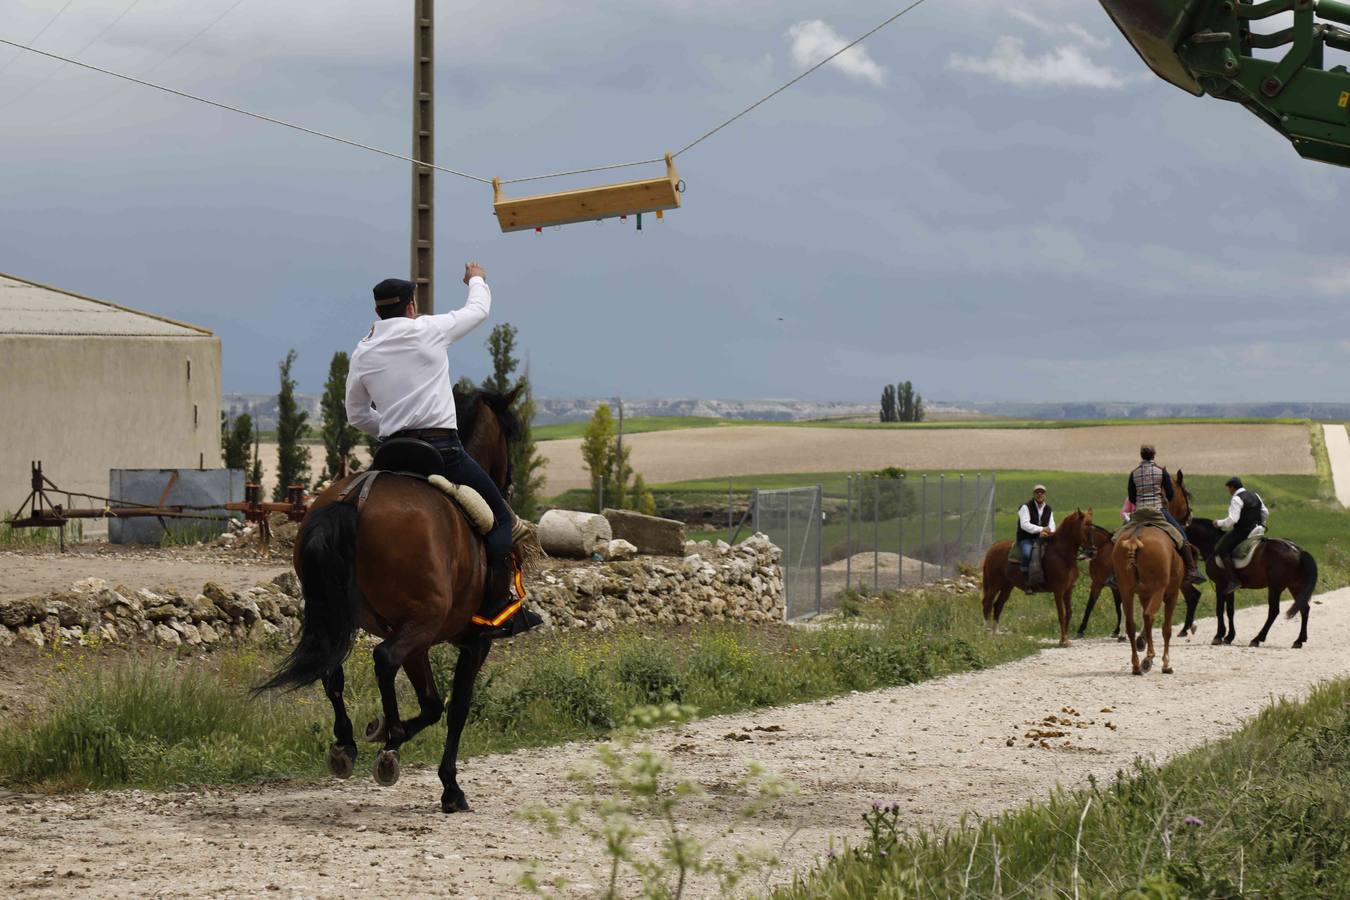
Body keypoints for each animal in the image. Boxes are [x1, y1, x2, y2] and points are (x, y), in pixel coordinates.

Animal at [257, 391, 521, 814]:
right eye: (511, 432)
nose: (509, 484)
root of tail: (355, 498)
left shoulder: (417, 638)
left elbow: (433, 705)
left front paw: (381, 733)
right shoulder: (472, 641)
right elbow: (455, 709)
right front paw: (450, 787)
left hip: (347, 618)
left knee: (334, 669)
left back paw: (348, 743)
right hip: (422, 622)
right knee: (383, 659)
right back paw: (390, 739)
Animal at [982, 507, 1096, 647]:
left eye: (1093, 528)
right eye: (1084, 528)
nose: (1092, 552)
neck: (1061, 554)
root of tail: (993, 548)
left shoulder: (1068, 589)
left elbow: (1069, 613)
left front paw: (1066, 639)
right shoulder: (1058, 591)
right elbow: (1061, 614)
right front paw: (1062, 640)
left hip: (1007, 586)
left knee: (998, 605)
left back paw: (994, 635)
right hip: (994, 584)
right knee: (987, 604)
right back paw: (986, 634)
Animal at [1188, 518, 1312, 650]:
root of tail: (1298, 550)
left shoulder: (1220, 585)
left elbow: (1220, 609)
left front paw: (1218, 636)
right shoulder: (1229, 588)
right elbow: (1230, 611)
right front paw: (1229, 637)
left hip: (1275, 587)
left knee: (1274, 611)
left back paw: (1256, 639)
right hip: (1295, 586)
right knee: (1304, 608)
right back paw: (1299, 640)